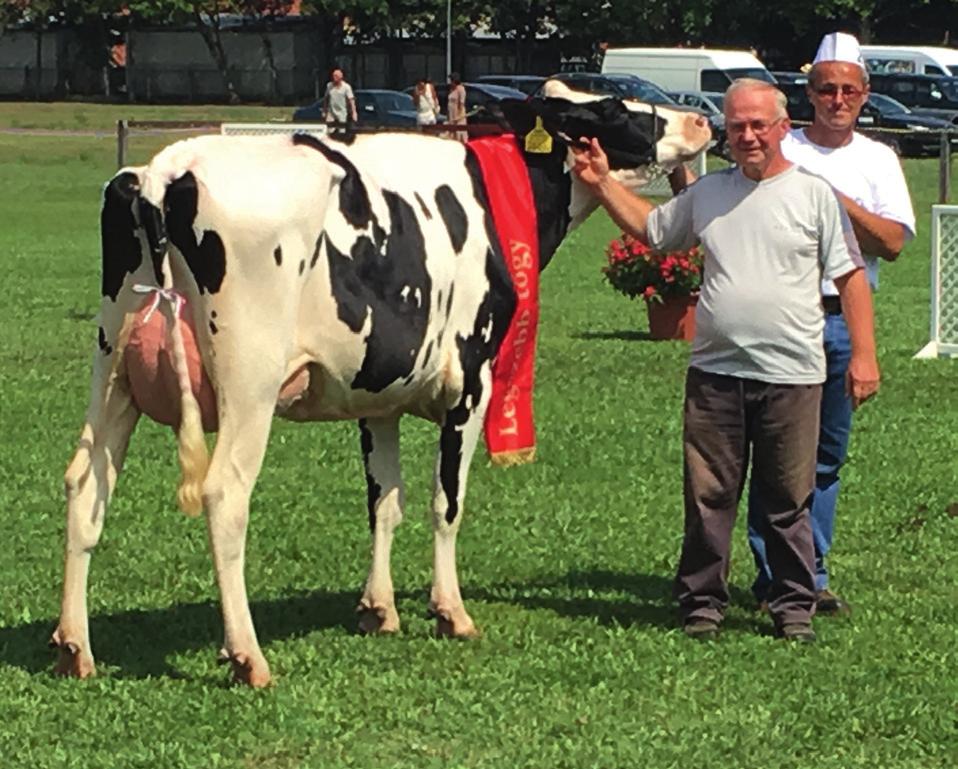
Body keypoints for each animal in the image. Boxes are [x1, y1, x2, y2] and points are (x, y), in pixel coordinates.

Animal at [52, 82, 712, 684]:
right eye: (616, 106)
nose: (702, 121)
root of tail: (165, 171)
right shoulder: (472, 383)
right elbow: (446, 502)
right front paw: (450, 613)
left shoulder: (379, 394)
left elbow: (384, 503)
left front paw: (379, 609)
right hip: (249, 381)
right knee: (224, 494)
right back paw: (247, 656)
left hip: (114, 373)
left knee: (86, 484)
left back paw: (75, 648)